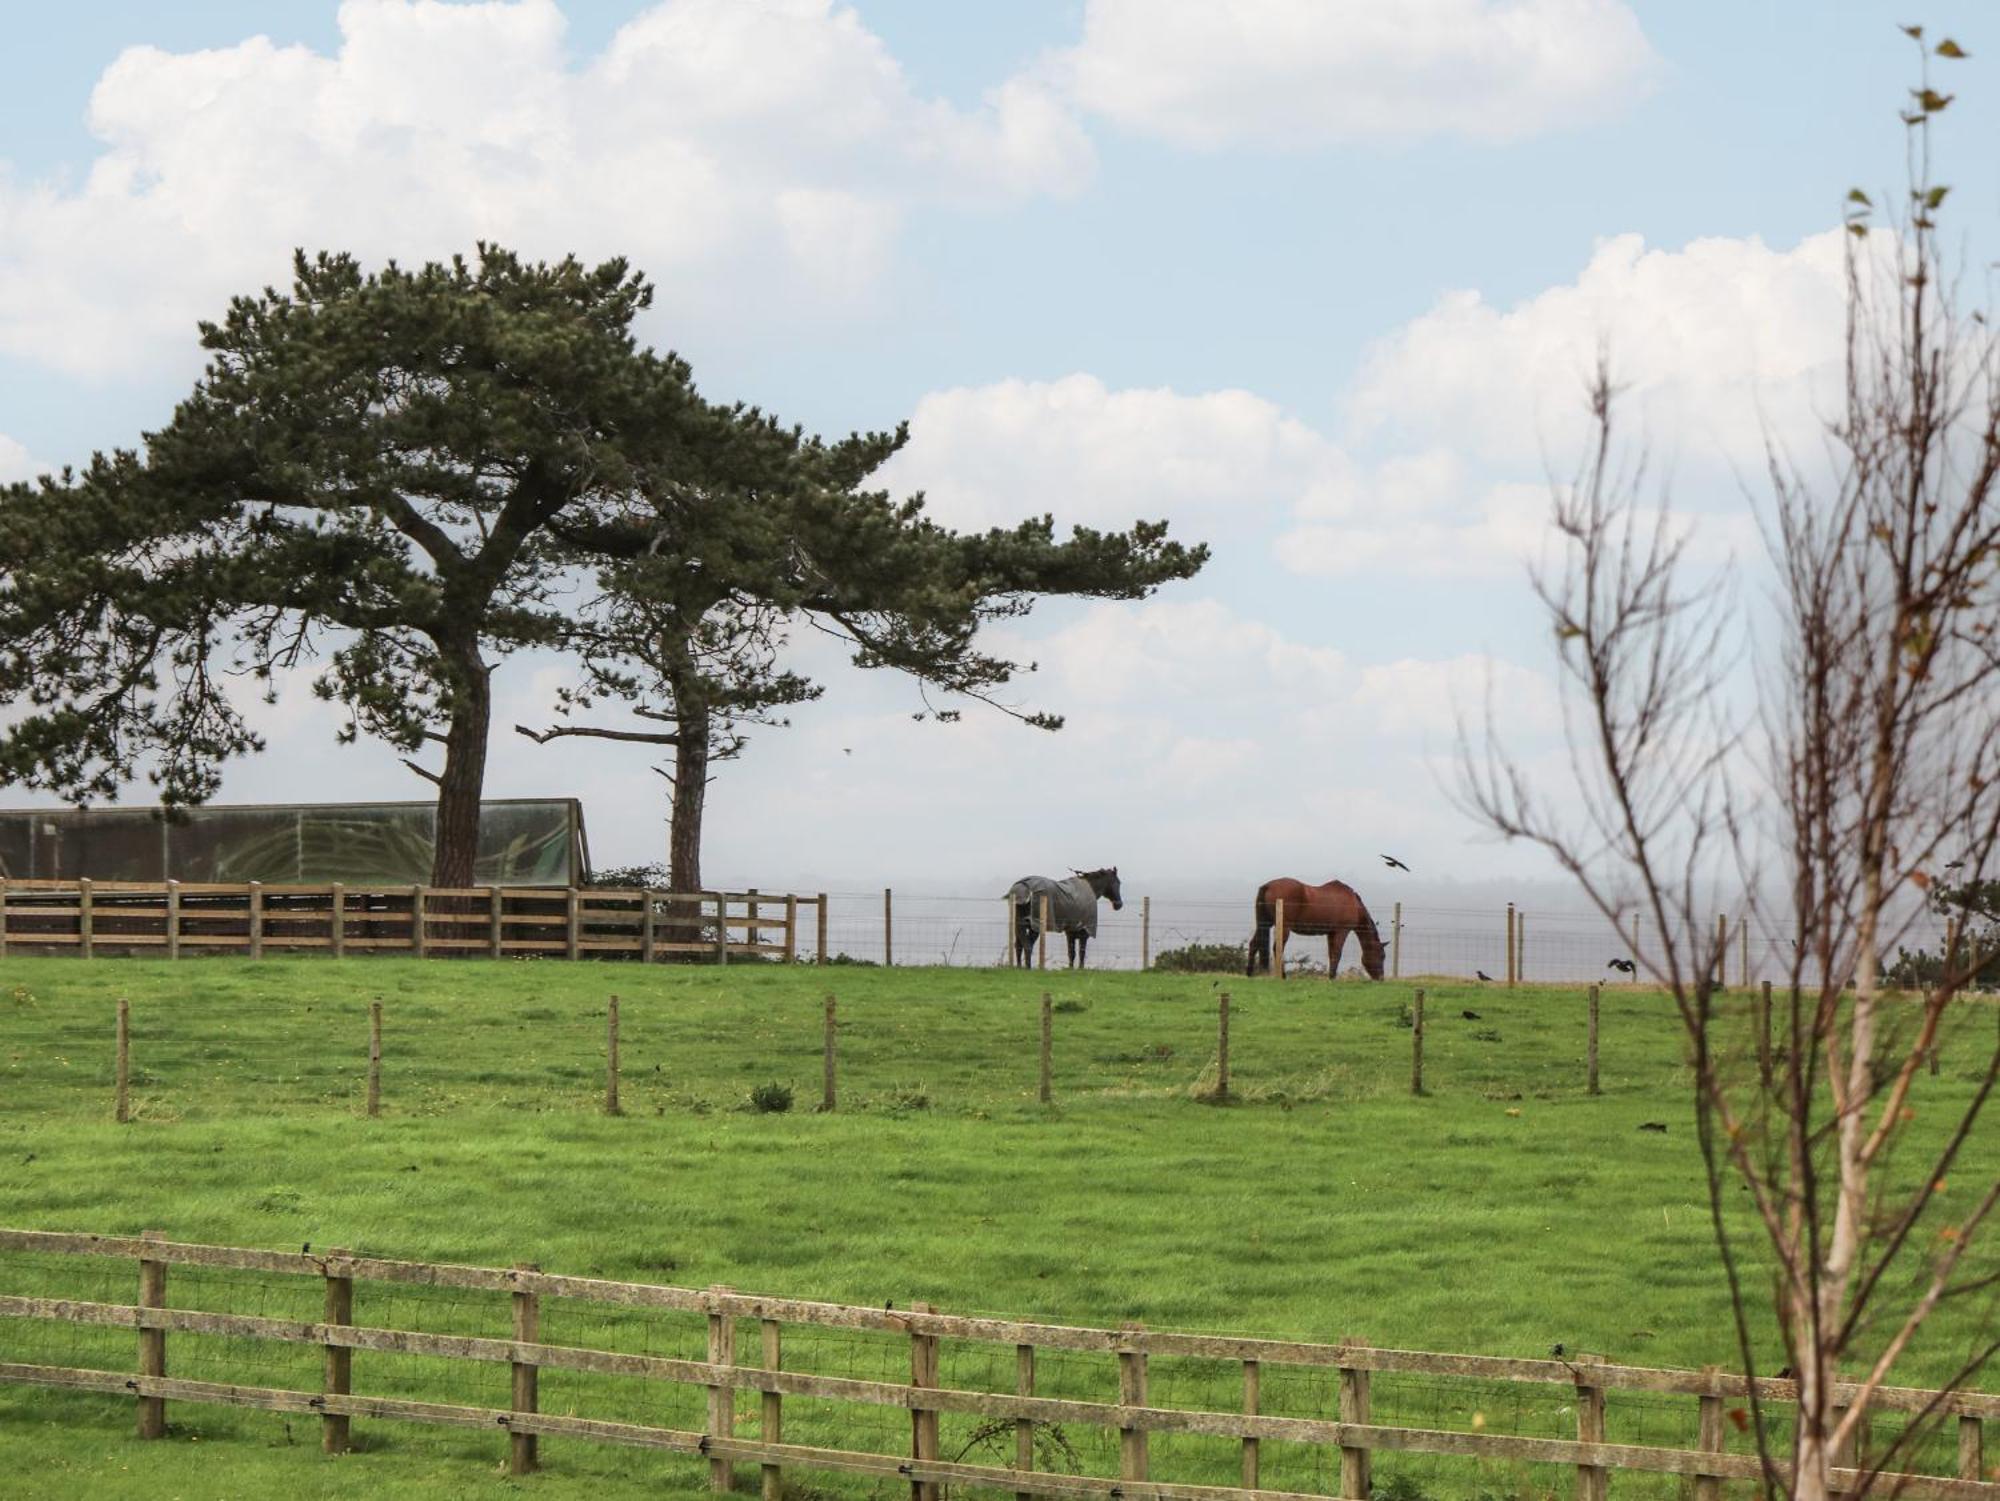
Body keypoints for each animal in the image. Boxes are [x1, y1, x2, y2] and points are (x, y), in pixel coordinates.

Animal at [1000, 868, 1128, 976]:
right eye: (1117, 882)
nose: (1119, 904)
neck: (1089, 889)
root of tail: (1023, 887)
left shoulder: (1070, 932)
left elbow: (1071, 952)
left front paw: (1071, 968)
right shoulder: (1084, 932)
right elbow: (1081, 952)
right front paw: (1081, 968)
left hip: (1019, 924)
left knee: (1019, 945)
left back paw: (1019, 967)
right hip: (1034, 925)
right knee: (1028, 945)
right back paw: (1028, 968)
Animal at [1240, 880, 1384, 988]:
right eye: (1382, 955)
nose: (1381, 978)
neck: (1353, 904)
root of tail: (1268, 885)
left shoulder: (1331, 933)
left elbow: (1332, 954)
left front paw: (1331, 976)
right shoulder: (1341, 932)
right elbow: (1337, 954)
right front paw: (1332, 977)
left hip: (1264, 924)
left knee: (1254, 944)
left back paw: (1249, 973)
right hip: (1284, 928)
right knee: (1277, 948)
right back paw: (1283, 975)